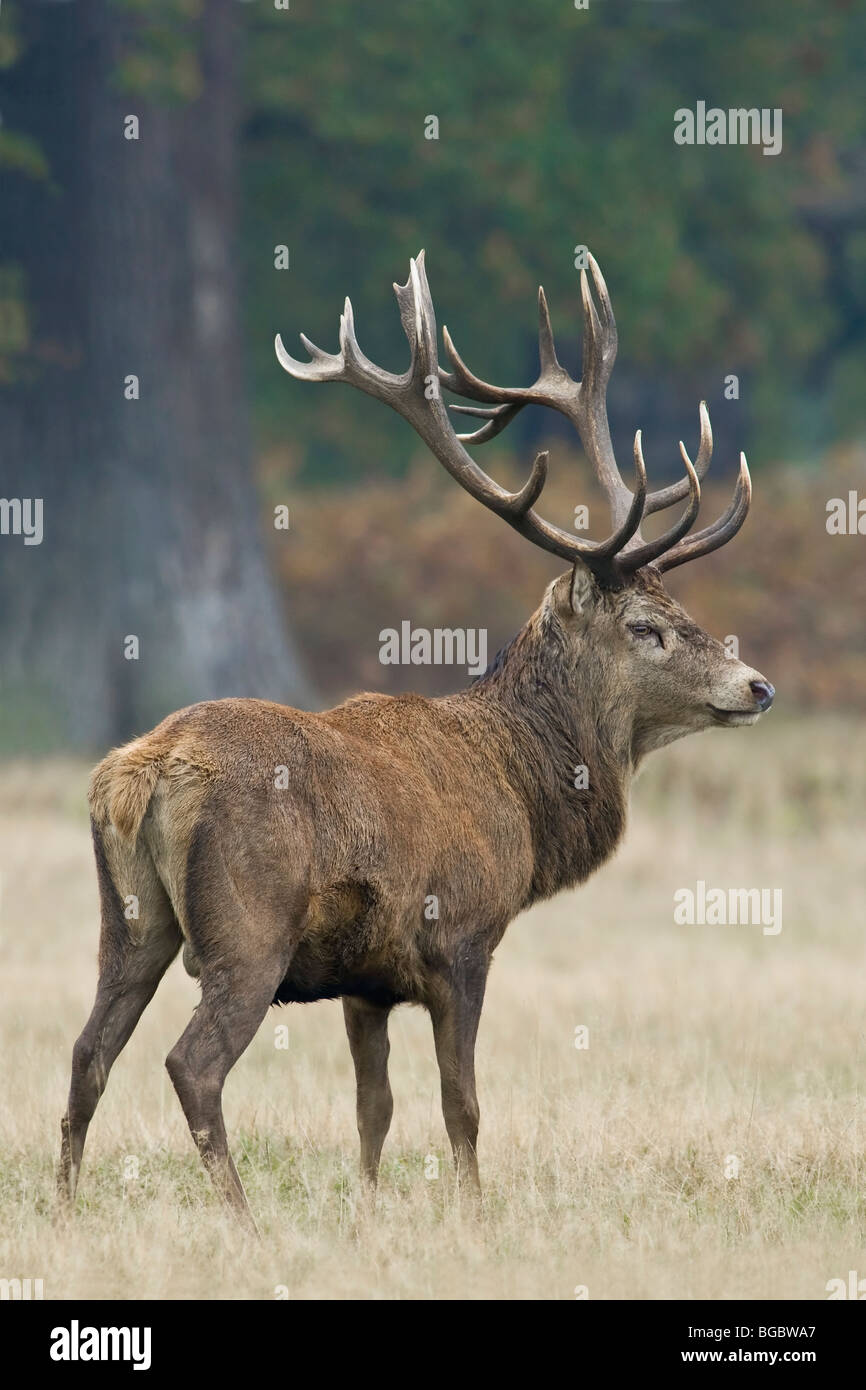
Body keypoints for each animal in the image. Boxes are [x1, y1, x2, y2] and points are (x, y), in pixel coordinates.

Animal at [58, 252, 774, 1226]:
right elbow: (459, 1103)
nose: (758, 685)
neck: (521, 793)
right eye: (647, 628)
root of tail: (144, 773)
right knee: (190, 1064)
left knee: (87, 1051)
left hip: (129, 918)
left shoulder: (365, 980)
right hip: (247, 929)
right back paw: (243, 1220)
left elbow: (375, 1108)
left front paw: (366, 1215)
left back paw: (61, 1207)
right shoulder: (460, 940)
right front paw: (474, 1214)